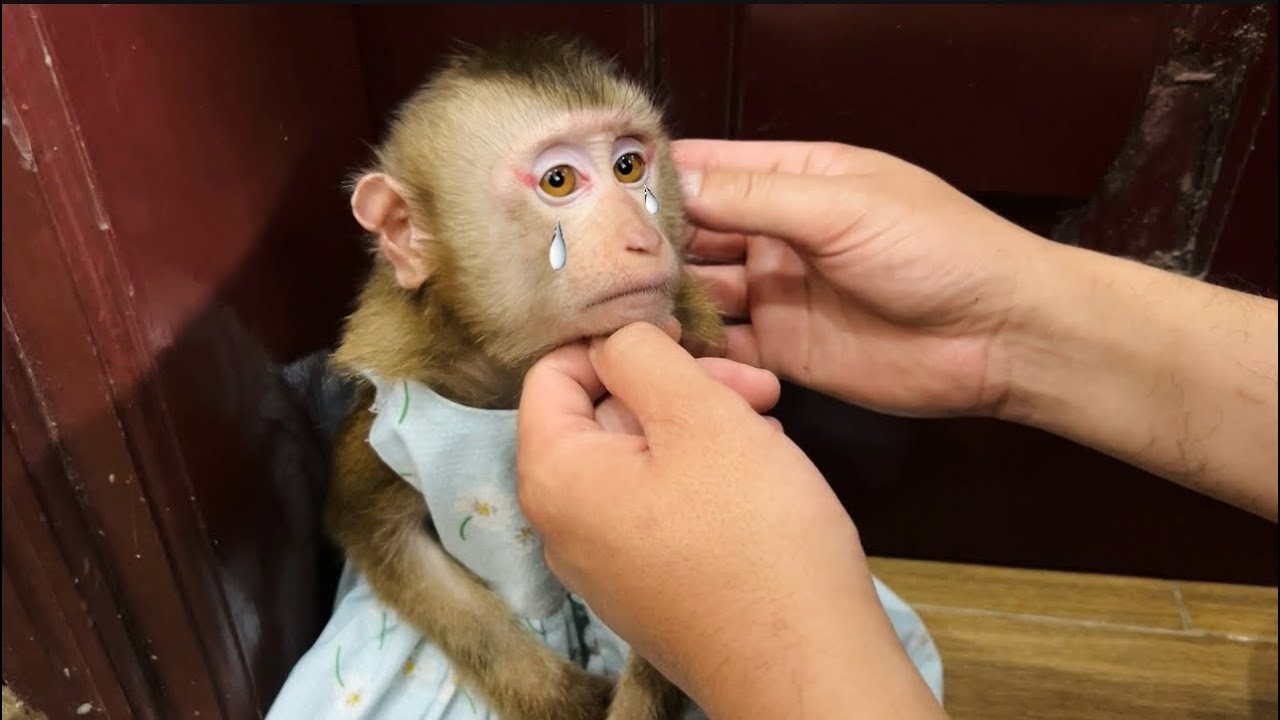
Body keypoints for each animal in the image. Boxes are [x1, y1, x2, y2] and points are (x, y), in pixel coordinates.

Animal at [264, 36, 723, 720]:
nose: (643, 237)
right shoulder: (393, 406)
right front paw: (561, 696)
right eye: (559, 180)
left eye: (629, 167)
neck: (514, 368)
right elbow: (376, 532)